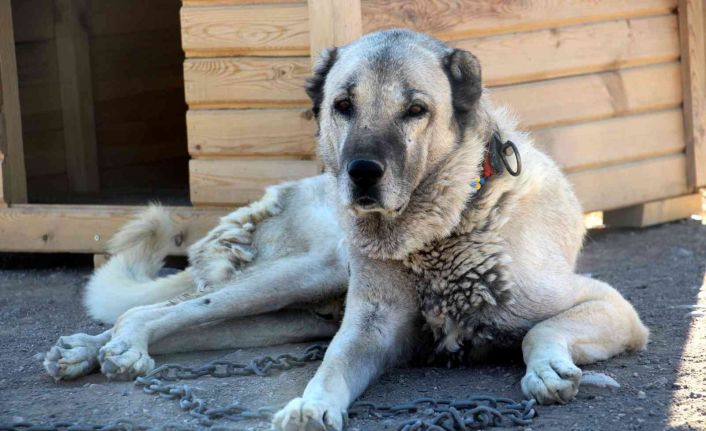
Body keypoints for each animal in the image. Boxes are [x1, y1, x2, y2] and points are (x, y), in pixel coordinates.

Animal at [44, 28, 648, 430]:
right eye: (343, 105)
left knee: (183, 318)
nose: (361, 173)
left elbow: (537, 331)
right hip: (306, 273)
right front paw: (311, 405)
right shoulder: (369, 332)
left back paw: (92, 350)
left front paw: (548, 370)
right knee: (160, 310)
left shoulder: (611, 306)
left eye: (416, 110)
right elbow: (334, 363)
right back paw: (108, 347)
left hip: (280, 316)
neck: (450, 224)